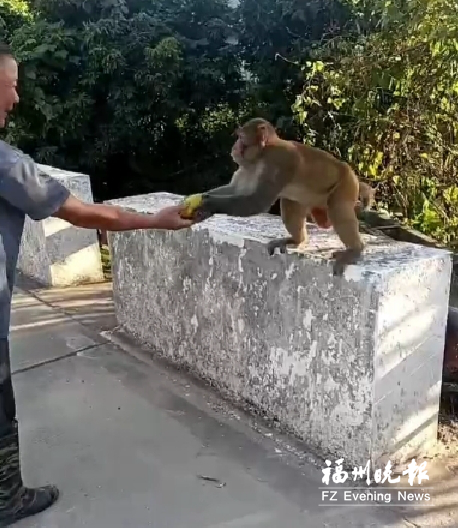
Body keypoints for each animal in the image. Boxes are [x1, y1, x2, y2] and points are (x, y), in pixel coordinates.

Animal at [184, 118, 378, 276]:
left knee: (339, 210)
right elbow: (234, 189)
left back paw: (355, 250)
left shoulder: (278, 161)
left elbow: (257, 202)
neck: (261, 155)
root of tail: (352, 175)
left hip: (346, 184)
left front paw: (208, 204)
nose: (234, 147)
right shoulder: (247, 168)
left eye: (240, 137)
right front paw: (200, 199)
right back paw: (297, 240)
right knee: (291, 204)